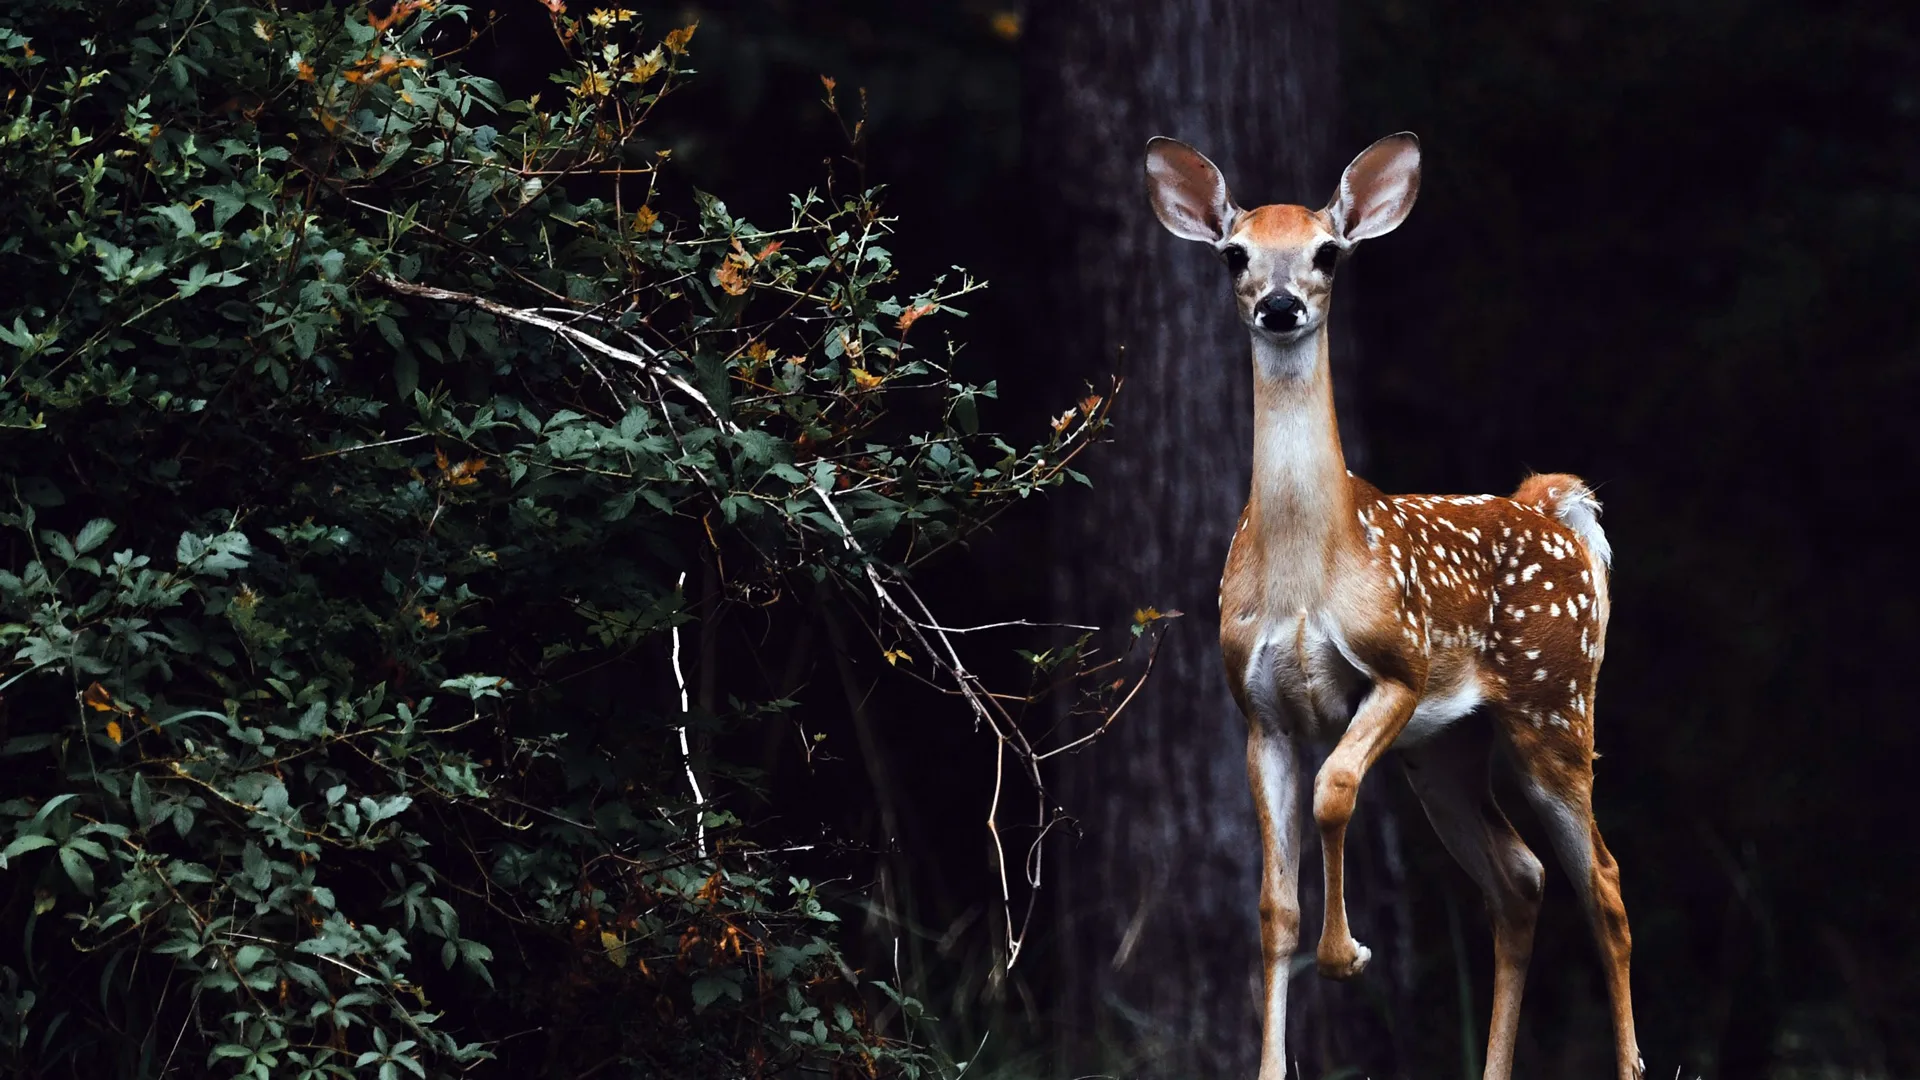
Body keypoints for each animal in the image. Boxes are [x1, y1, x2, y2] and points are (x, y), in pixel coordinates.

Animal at [1144, 127, 1643, 1076]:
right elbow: (1273, 907)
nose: (1278, 306)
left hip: (1556, 704)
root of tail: (1552, 506)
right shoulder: (1258, 711)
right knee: (1519, 877)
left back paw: (1631, 1064)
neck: (1307, 572)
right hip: (1446, 750)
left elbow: (1335, 790)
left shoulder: (1398, 667)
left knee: (1601, 878)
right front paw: (1273, 1058)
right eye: (1235, 254)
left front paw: (1347, 956)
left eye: (1327, 253)